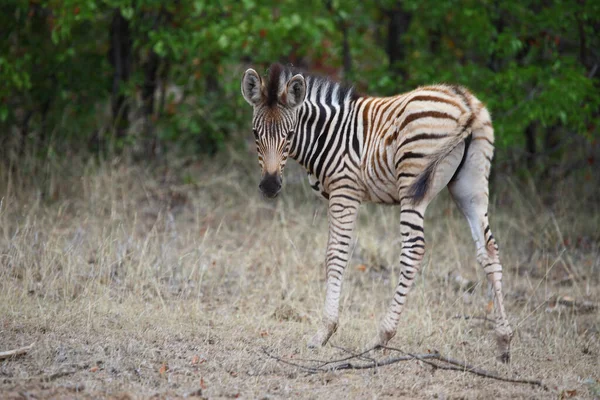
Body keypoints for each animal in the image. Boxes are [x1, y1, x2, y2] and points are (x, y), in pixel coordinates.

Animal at [241, 64, 512, 360]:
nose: (269, 186)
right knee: (489, 250)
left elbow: (335, 254)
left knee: (414, 249)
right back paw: (503, 341)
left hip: (413, 184)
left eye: (289, 134)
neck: (326, 135)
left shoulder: (345, 191)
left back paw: (382, 336)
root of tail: (466, 104)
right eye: (255, 133)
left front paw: (324, 332)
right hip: (470, 186)